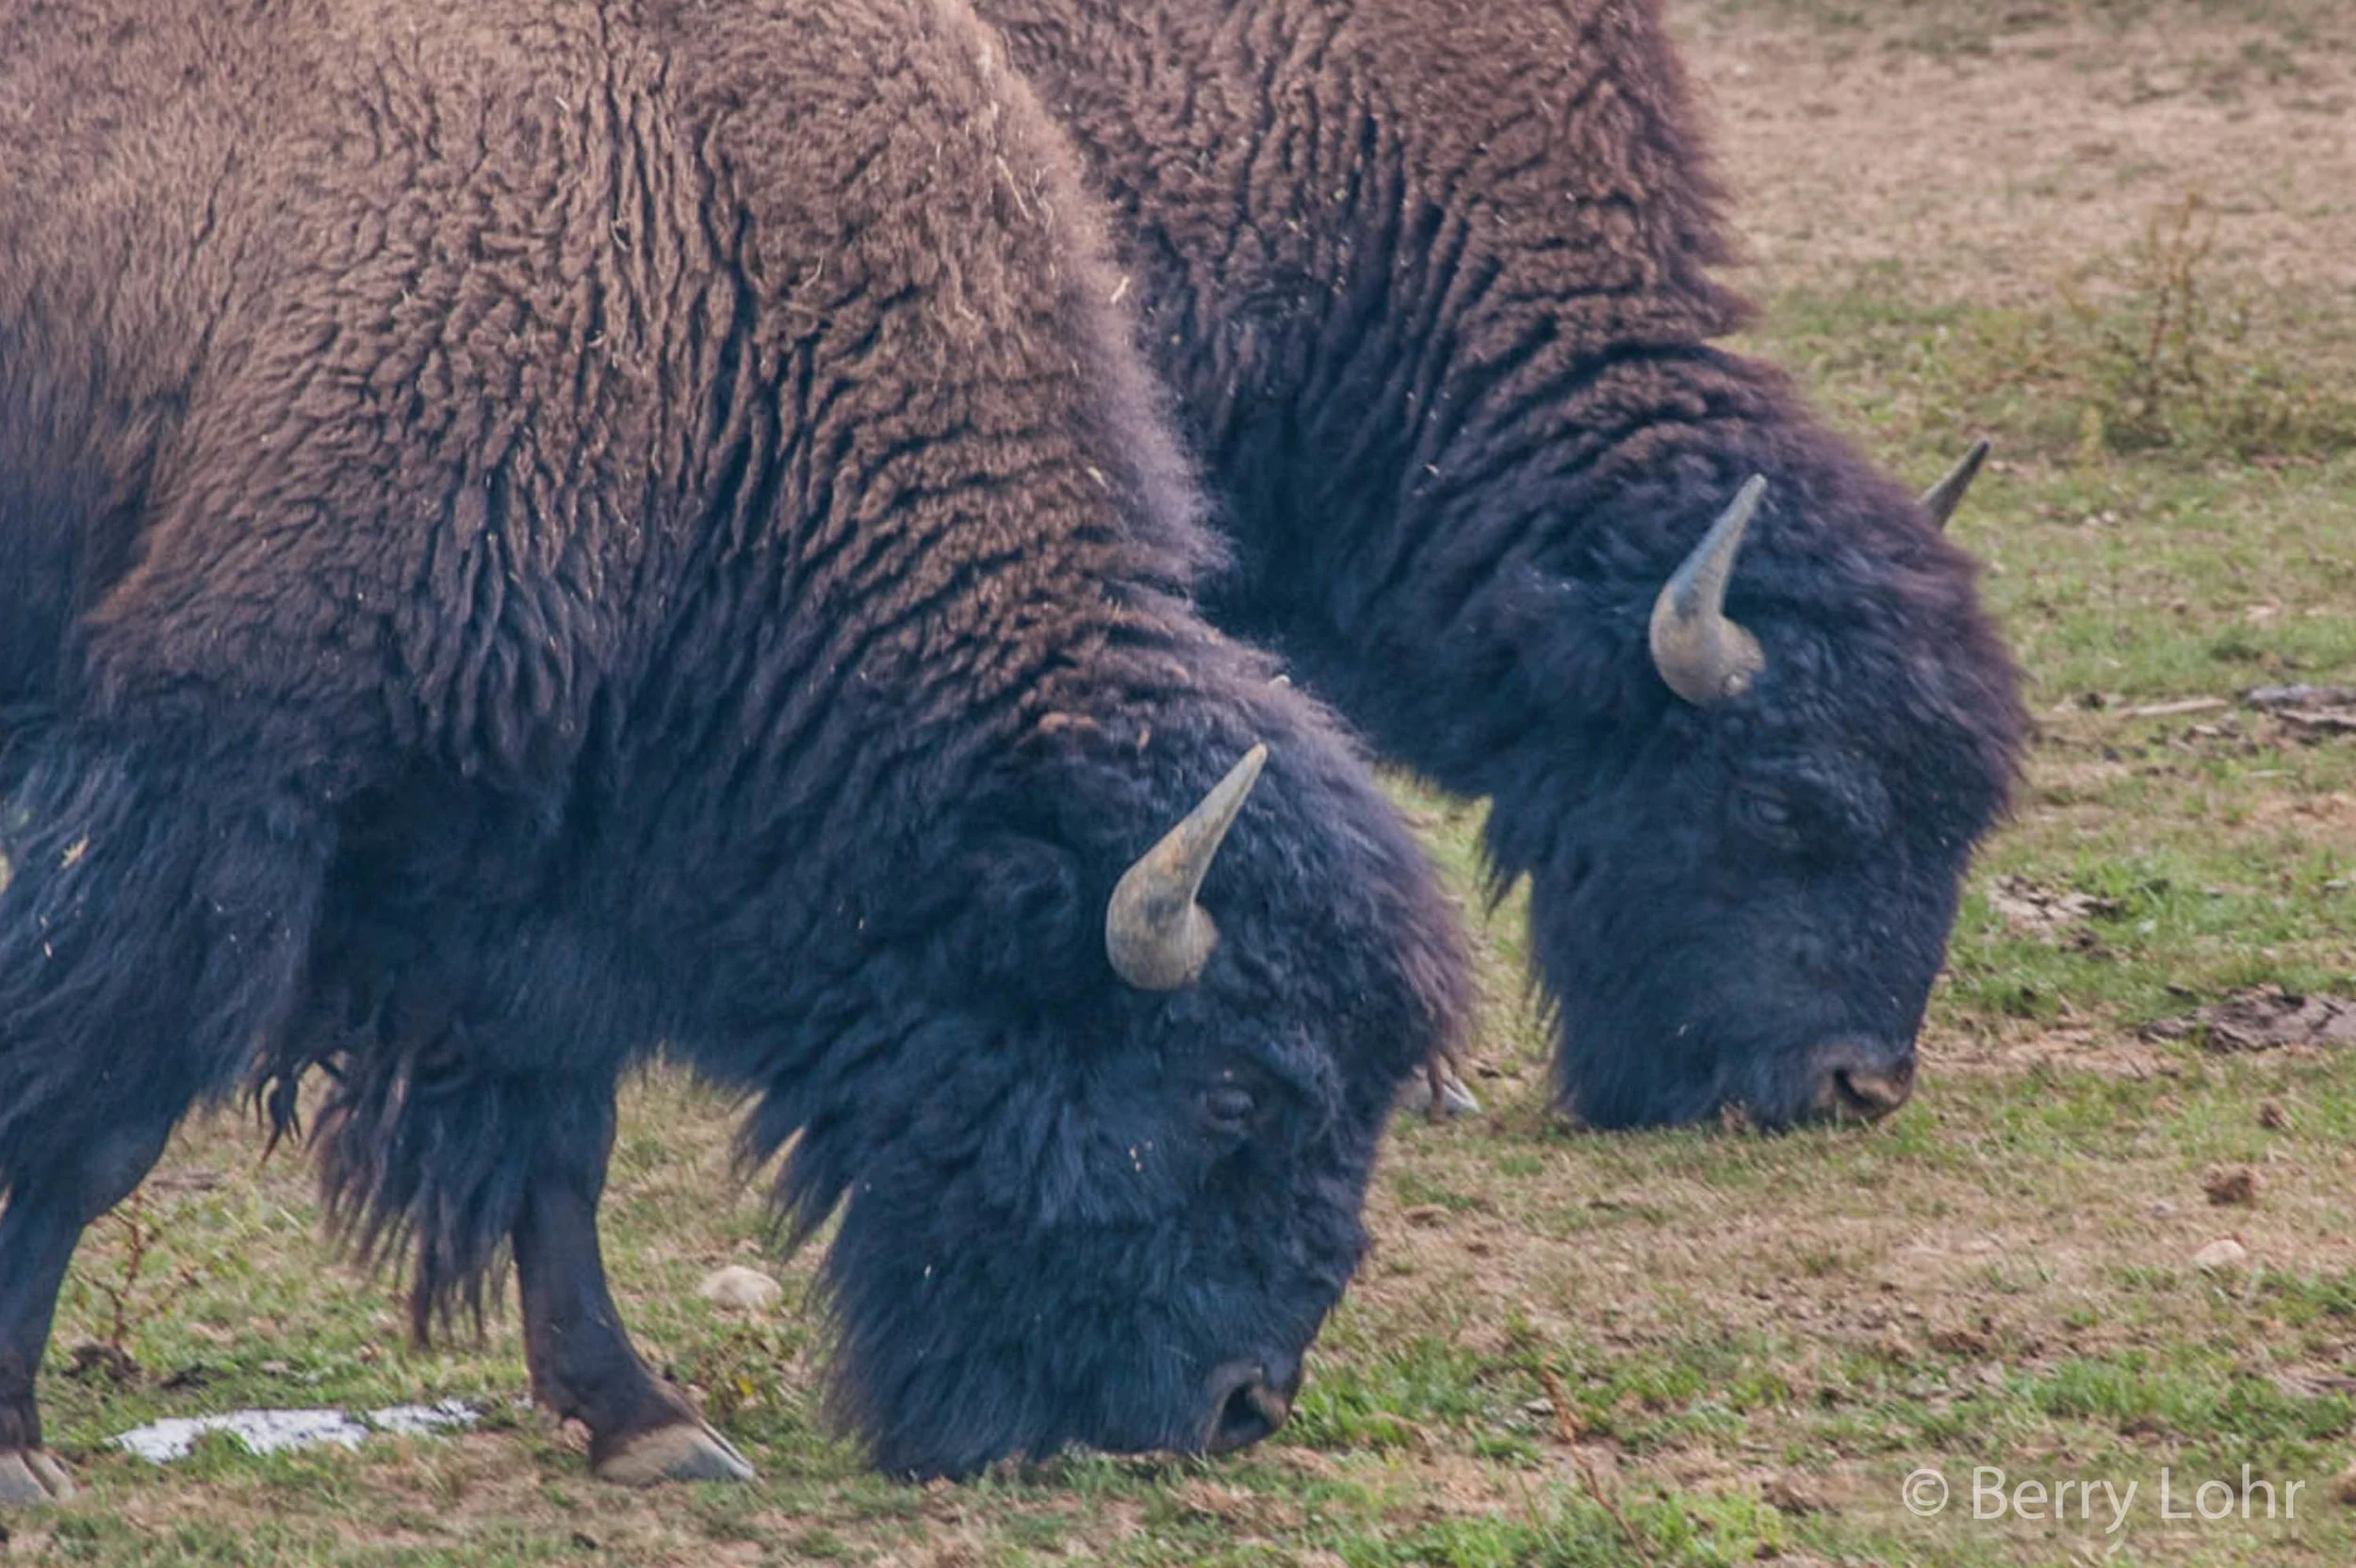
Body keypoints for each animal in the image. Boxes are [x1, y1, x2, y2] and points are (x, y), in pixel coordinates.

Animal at [0, 0, 1468, 1501]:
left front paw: (646, 1420)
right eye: (1231, 1090)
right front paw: (16, 1442)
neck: (701, 293)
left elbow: (556, 1144)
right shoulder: (220, 776)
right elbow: (103, 1116)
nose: (1244, 1402)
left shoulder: (554, 882)